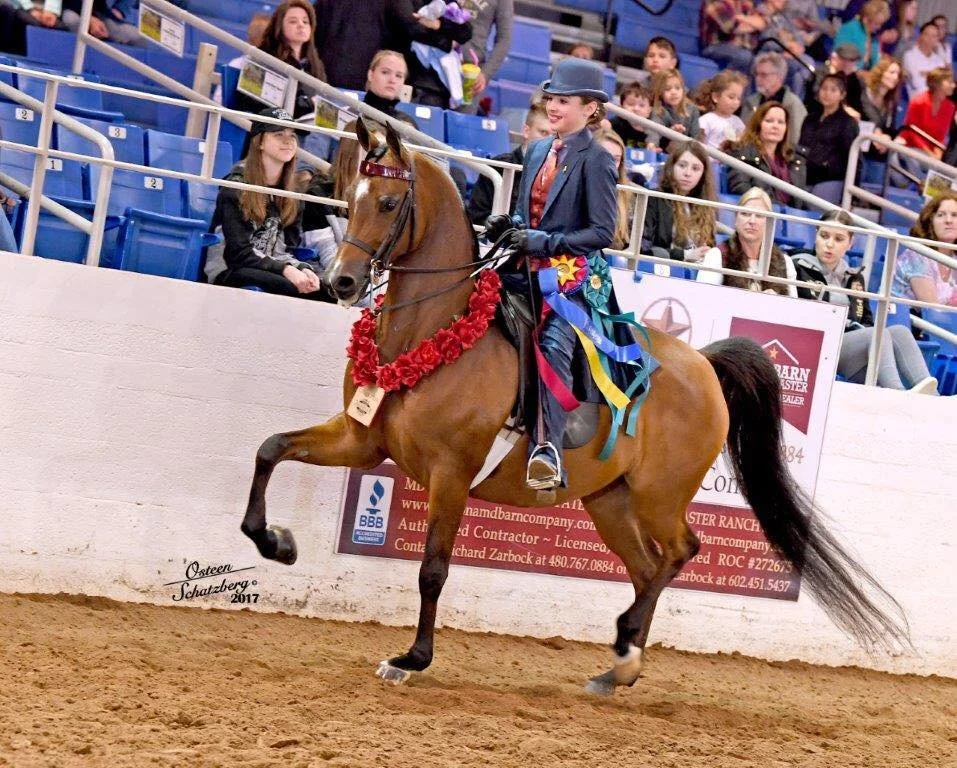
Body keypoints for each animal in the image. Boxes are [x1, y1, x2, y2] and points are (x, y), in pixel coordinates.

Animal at [241, 120, 909, 694]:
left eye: (385, 203)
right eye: (348, 195)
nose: (341, 282)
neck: (430, 331)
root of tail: (705, 367)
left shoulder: (451, 474)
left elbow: (433, 568)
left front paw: (412, 659)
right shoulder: (361, 441)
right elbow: (271, 447)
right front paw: (275, 542)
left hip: (659, 495)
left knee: (680, 552)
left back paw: (625, 647)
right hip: (609, 500)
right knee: (646, 566)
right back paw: (619, 665)